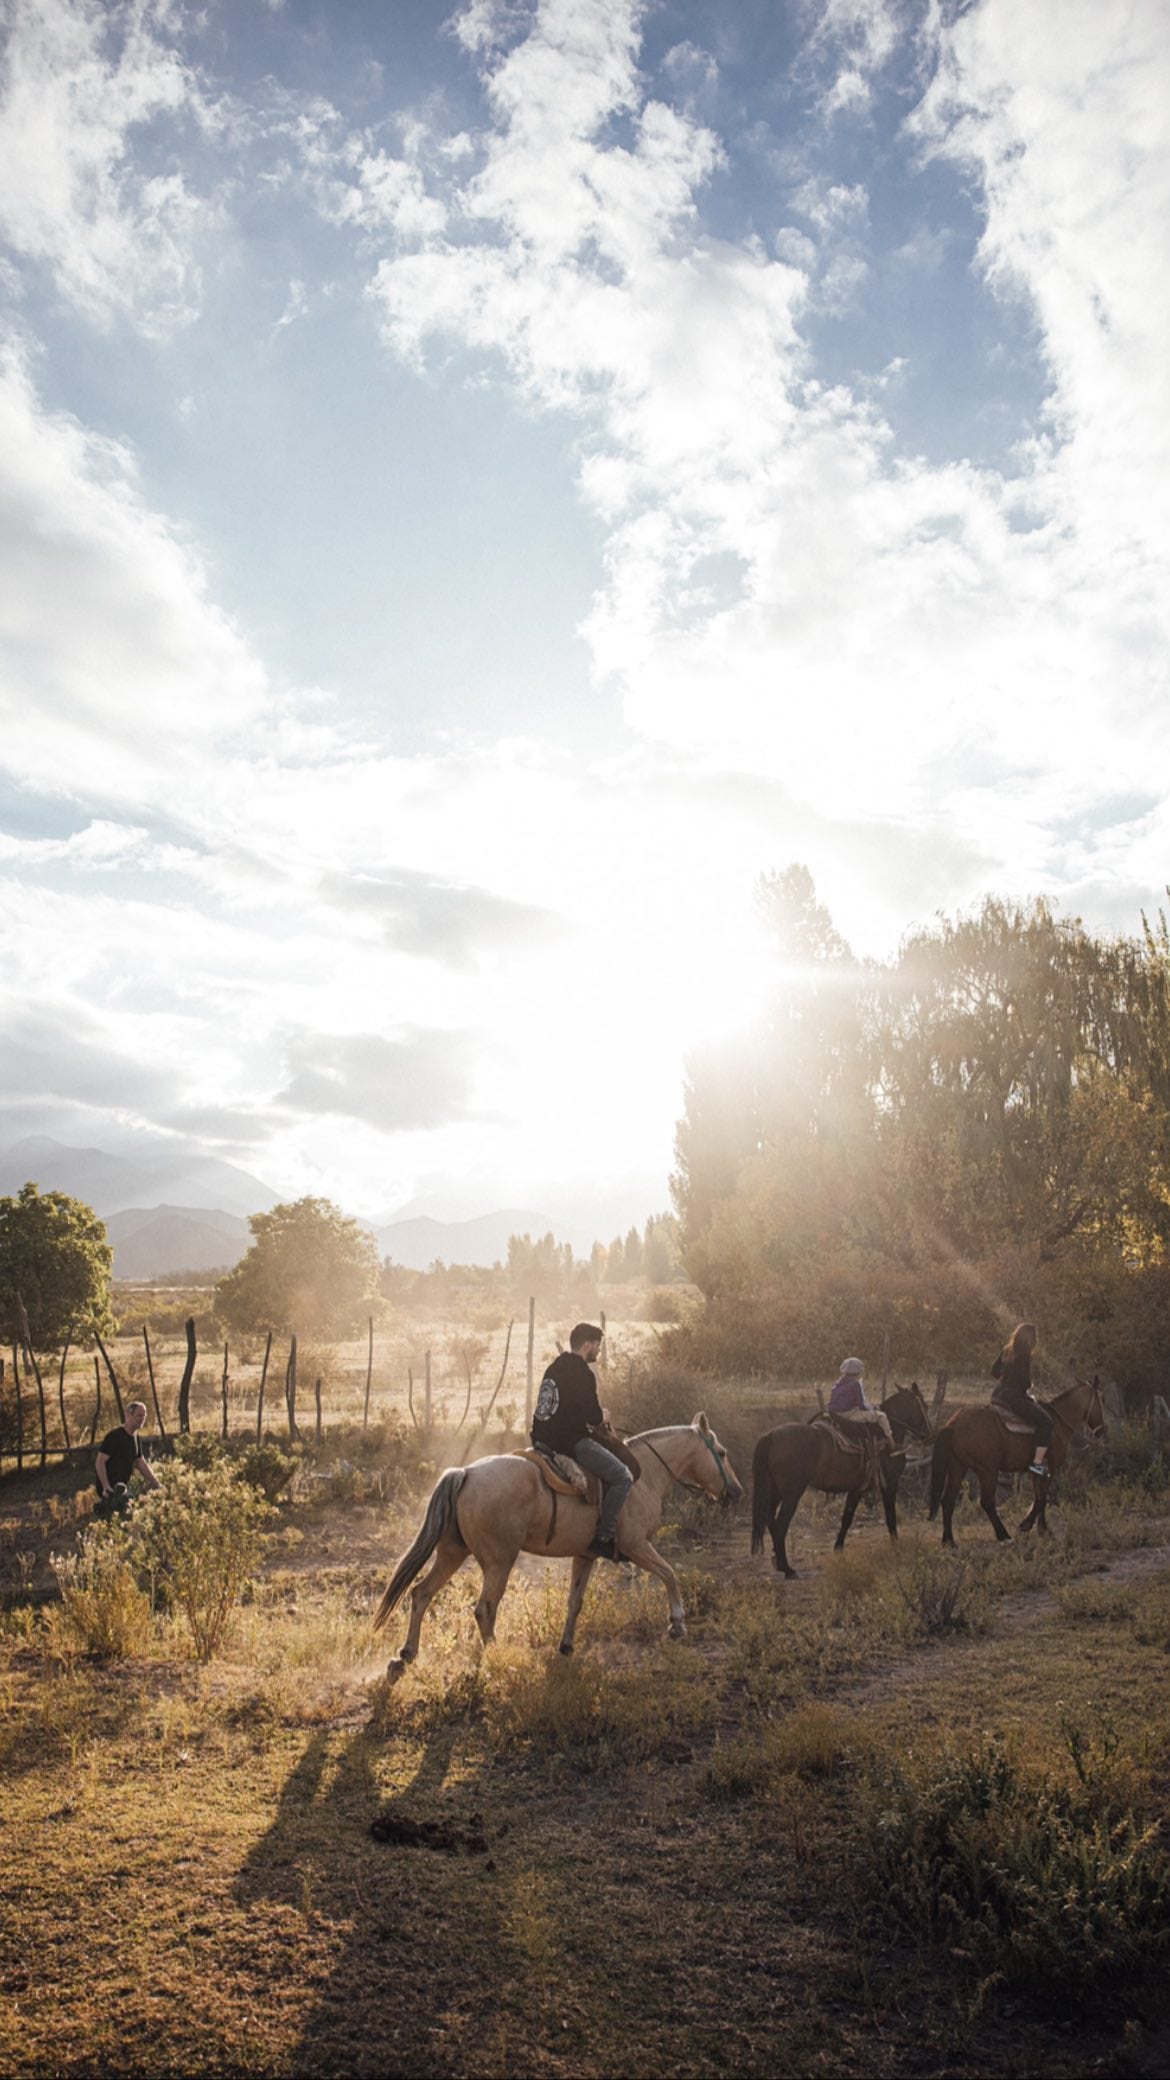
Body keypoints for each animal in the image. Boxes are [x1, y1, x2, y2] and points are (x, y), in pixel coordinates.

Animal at [368, 1414, 741, 1672]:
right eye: (722, 1452)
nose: (736, 1492)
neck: (642, 1476)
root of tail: (466, 1473)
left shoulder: (586, 1555)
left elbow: (575, 1601)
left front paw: (566, 1646)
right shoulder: (637, 1546)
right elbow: (669, 1574)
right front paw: (677, 1623)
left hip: (452, 1553)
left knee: (421, 1593)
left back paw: (405, 1656)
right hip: (499, 1561)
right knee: (485, 1609)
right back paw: (499, 1656)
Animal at [745, 1389, 928, 1580]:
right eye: (924, 1406)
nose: (929, 1435)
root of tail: (771, 1436)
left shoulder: (857, 1489)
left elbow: (846, 1517)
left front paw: (838, 1548)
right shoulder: (890, 1484)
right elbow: (890, 1517)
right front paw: (896, 1547)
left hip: (774, 1492)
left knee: (770, 1520)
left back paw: (778, 1562)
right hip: (791, 1494)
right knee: (780, 1525)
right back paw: (787, 1569)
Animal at [920, 1381, 1099, 1547]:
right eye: (1101, 1400)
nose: (1101, 1430)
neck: (1058, 1423)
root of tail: (954, 1423)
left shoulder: (1038, 1473)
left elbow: (1039, 1498)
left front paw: (1043, 1530)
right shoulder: (1051, 1469)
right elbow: (1041, 1500)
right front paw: (1025, 1526)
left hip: (958, 1467)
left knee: (948, 1501)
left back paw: (949, 1541)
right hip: (988, 1471)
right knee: (987, 1502)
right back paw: (1003, 1535)